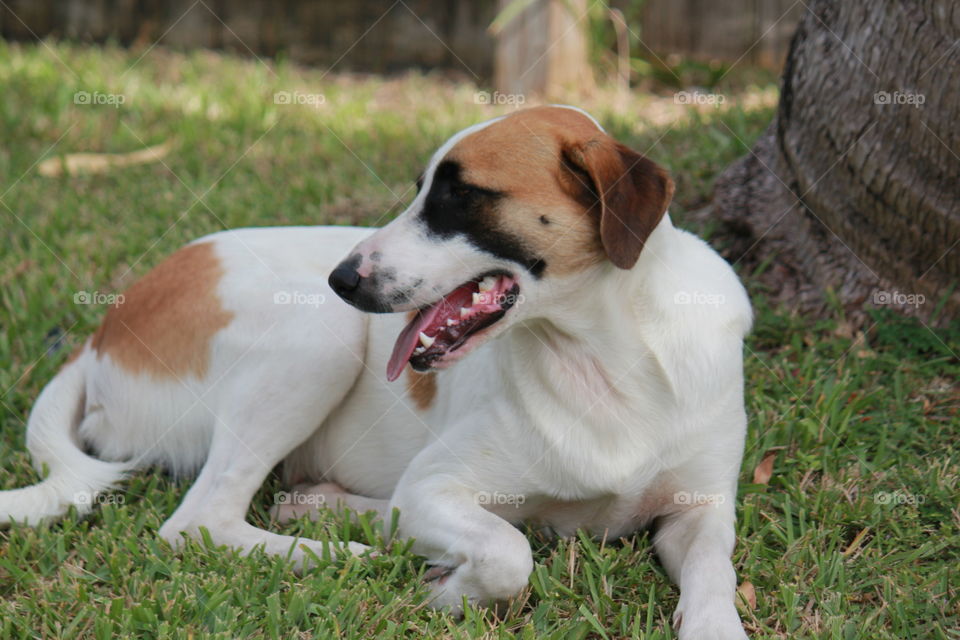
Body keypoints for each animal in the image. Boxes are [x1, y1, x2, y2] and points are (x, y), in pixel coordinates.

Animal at [0, 106, 752, 640]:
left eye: (460, 195)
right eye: (420, 192)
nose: (343, 278)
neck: (603, 353)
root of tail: (103, 331)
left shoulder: (701, 510)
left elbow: (714, 571)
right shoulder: (433, 487)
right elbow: (509, 554)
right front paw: (451, 591)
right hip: (315, 333)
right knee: (201, 520)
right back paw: (352, 552)